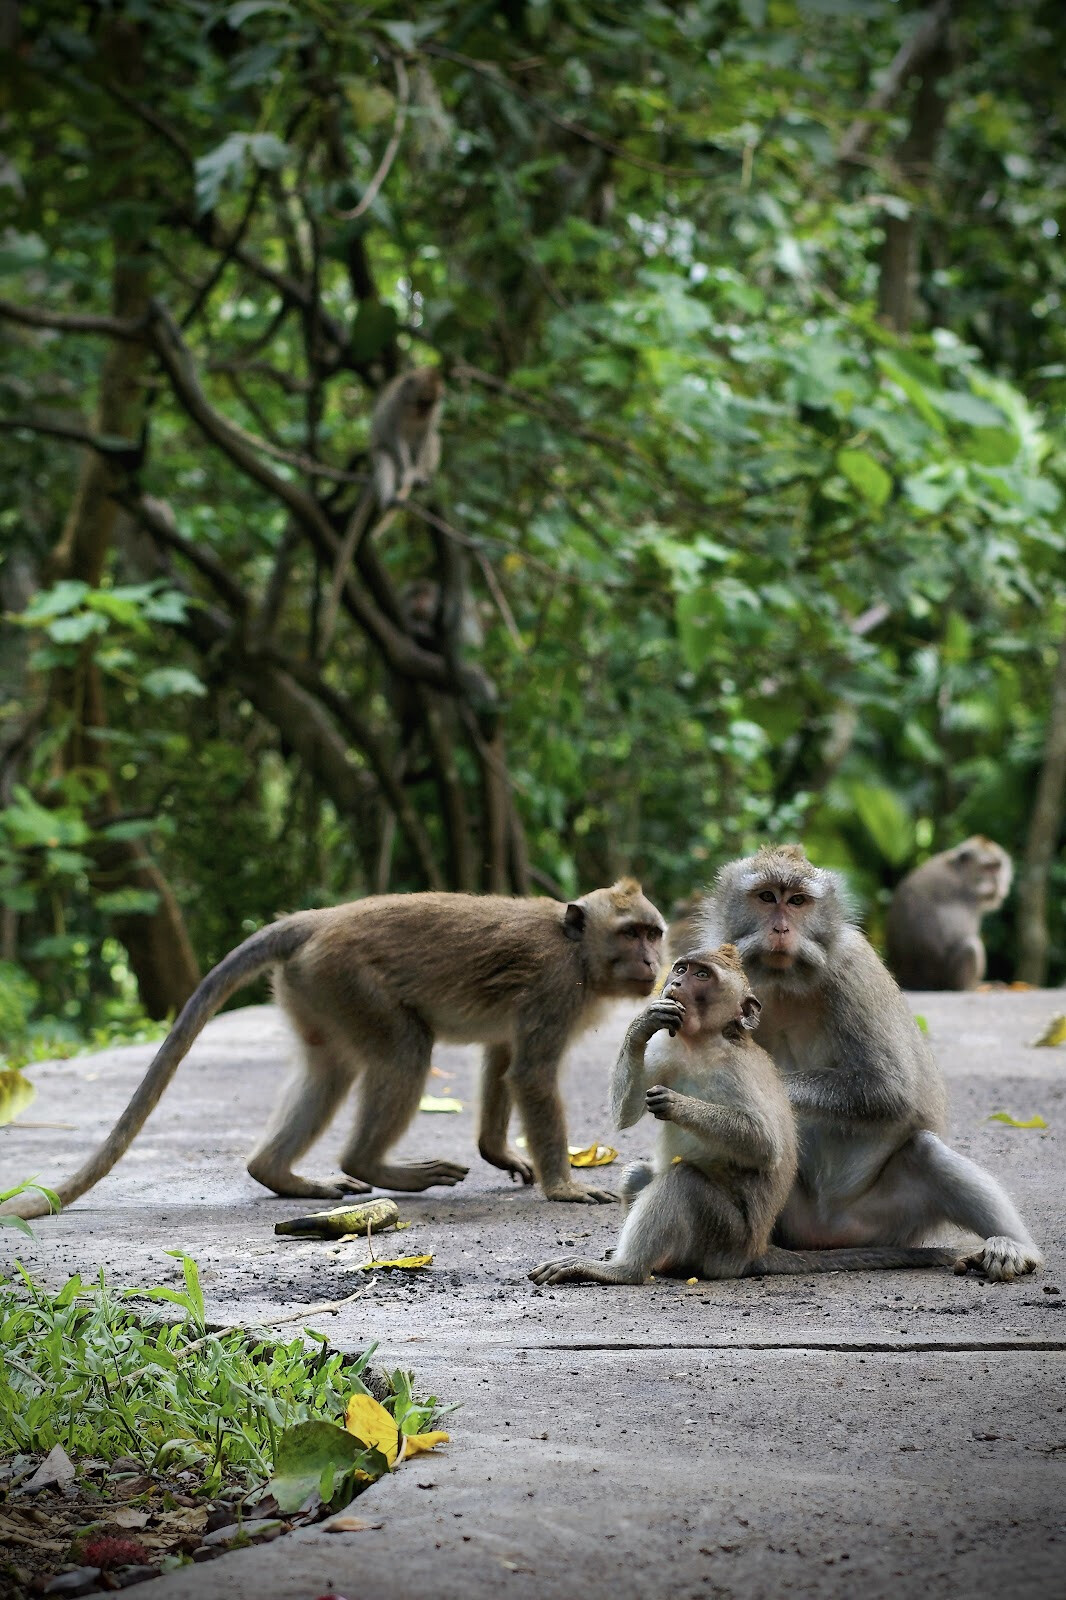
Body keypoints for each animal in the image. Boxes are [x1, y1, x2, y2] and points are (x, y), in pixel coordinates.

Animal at [1, 881, 666, 1221]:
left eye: (653, 933)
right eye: (631, 933)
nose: (653, 962)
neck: (577, 950)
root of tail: (316, 921)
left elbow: (503, 1058)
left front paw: (498, 1152)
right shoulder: (557, 988)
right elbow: (529, 1073)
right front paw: (564, 1187)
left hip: (313, 988)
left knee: (332, 1068)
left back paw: (278, 1174)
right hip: (347, 978)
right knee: (405, 1050)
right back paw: (369, 1164)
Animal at [530, 945, 960, 1286]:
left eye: (702, 975)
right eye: (682, 968)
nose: (675, 983)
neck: (701, 1044)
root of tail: (755, 1249)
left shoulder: (737, 1070)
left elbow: (764, 1145)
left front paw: (677, 1104)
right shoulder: (666, 1051)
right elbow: (627, 1113)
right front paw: (643, 1022)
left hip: (726, 1238)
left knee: (684, 1182)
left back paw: (625, 1270)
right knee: (638, 1174)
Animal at [885, 836, 1013, 990]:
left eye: (997, 867)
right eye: (988, 868)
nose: (997, 882)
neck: (959, 871)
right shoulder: (969, 900)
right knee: (970, 947)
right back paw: (972, 987)